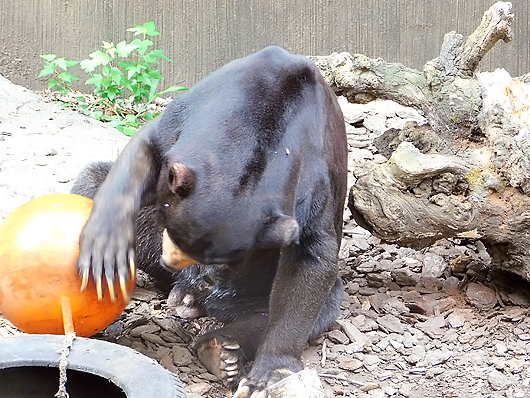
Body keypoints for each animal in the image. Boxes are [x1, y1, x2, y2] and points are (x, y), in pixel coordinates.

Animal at [73, 47, 346, 398]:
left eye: (229, 260)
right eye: (171, 229)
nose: (194, 276)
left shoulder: (313, 179)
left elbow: (310, 262)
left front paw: (269, 375)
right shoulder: (191, 113)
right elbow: (145, 147)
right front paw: (106, 250)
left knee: (310, 305)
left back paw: (219, 347)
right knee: (92, 179)